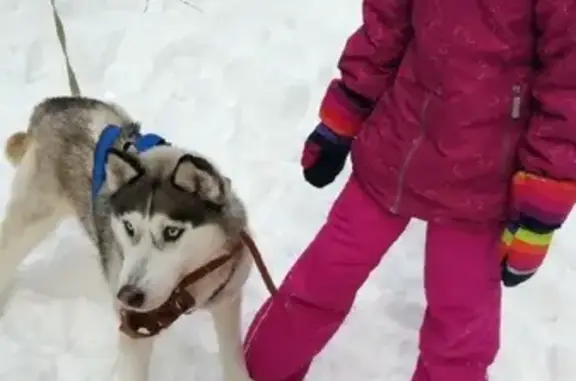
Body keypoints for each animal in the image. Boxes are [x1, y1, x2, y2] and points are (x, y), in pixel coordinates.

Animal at [0, 95, 254, 380]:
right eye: (129, 227)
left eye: (172, 231)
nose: (128, 295)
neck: (188, 282)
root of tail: (54, 104)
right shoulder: (135, 325)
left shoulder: (227, 298)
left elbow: (232, 358)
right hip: (32, 219)